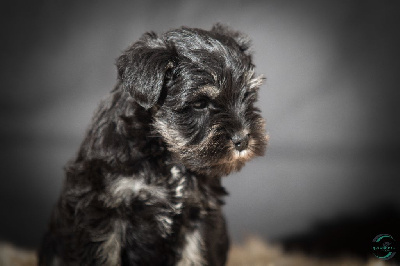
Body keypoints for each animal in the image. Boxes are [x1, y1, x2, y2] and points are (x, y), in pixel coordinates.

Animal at [39, 23, 268, 264]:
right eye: (199, 103)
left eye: (248, 94)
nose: (243, 139)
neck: (166, 154)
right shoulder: (102, 211)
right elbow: (105, 255)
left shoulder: (199, 214)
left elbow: (194, 256)